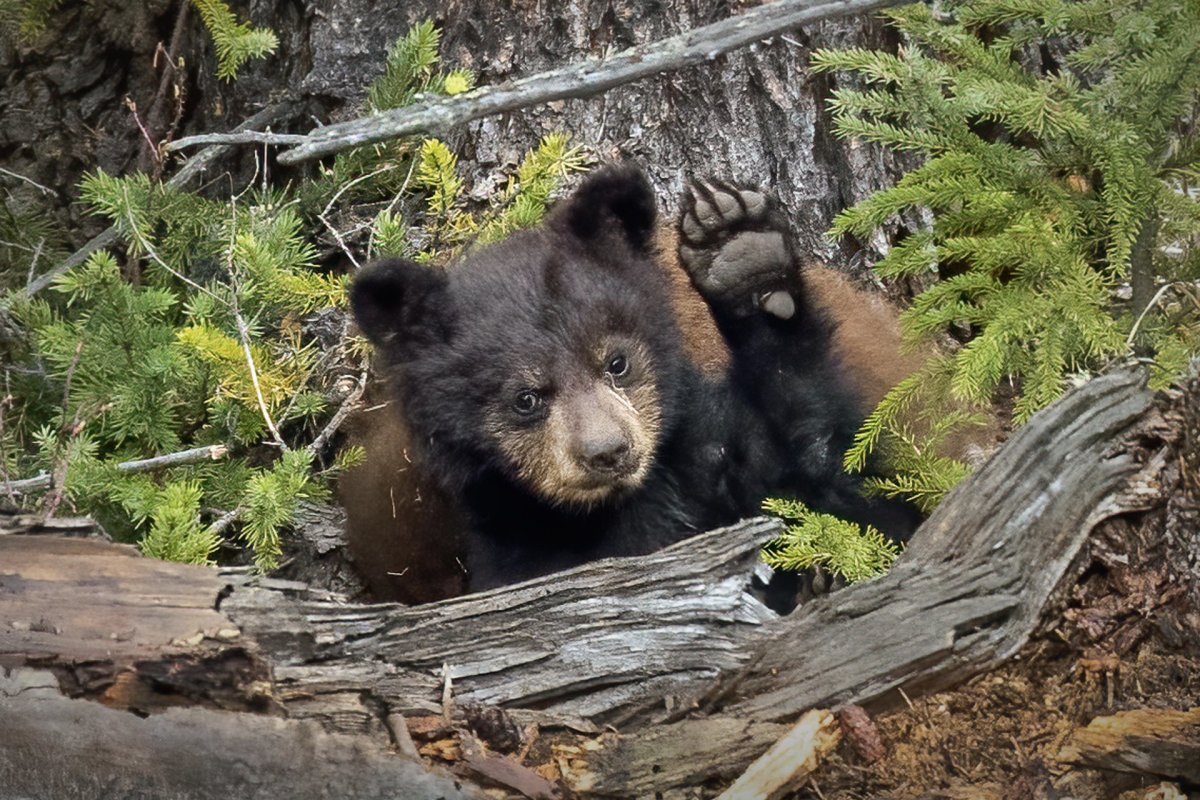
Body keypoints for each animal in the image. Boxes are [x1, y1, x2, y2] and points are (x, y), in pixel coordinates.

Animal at [348, 164, 921, 594]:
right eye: (526, 398)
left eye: (616, 361)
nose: (609, 452)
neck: (627, 499)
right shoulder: (512, 547)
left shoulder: (712, 446)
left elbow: (843, 486)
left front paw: (740, 252)